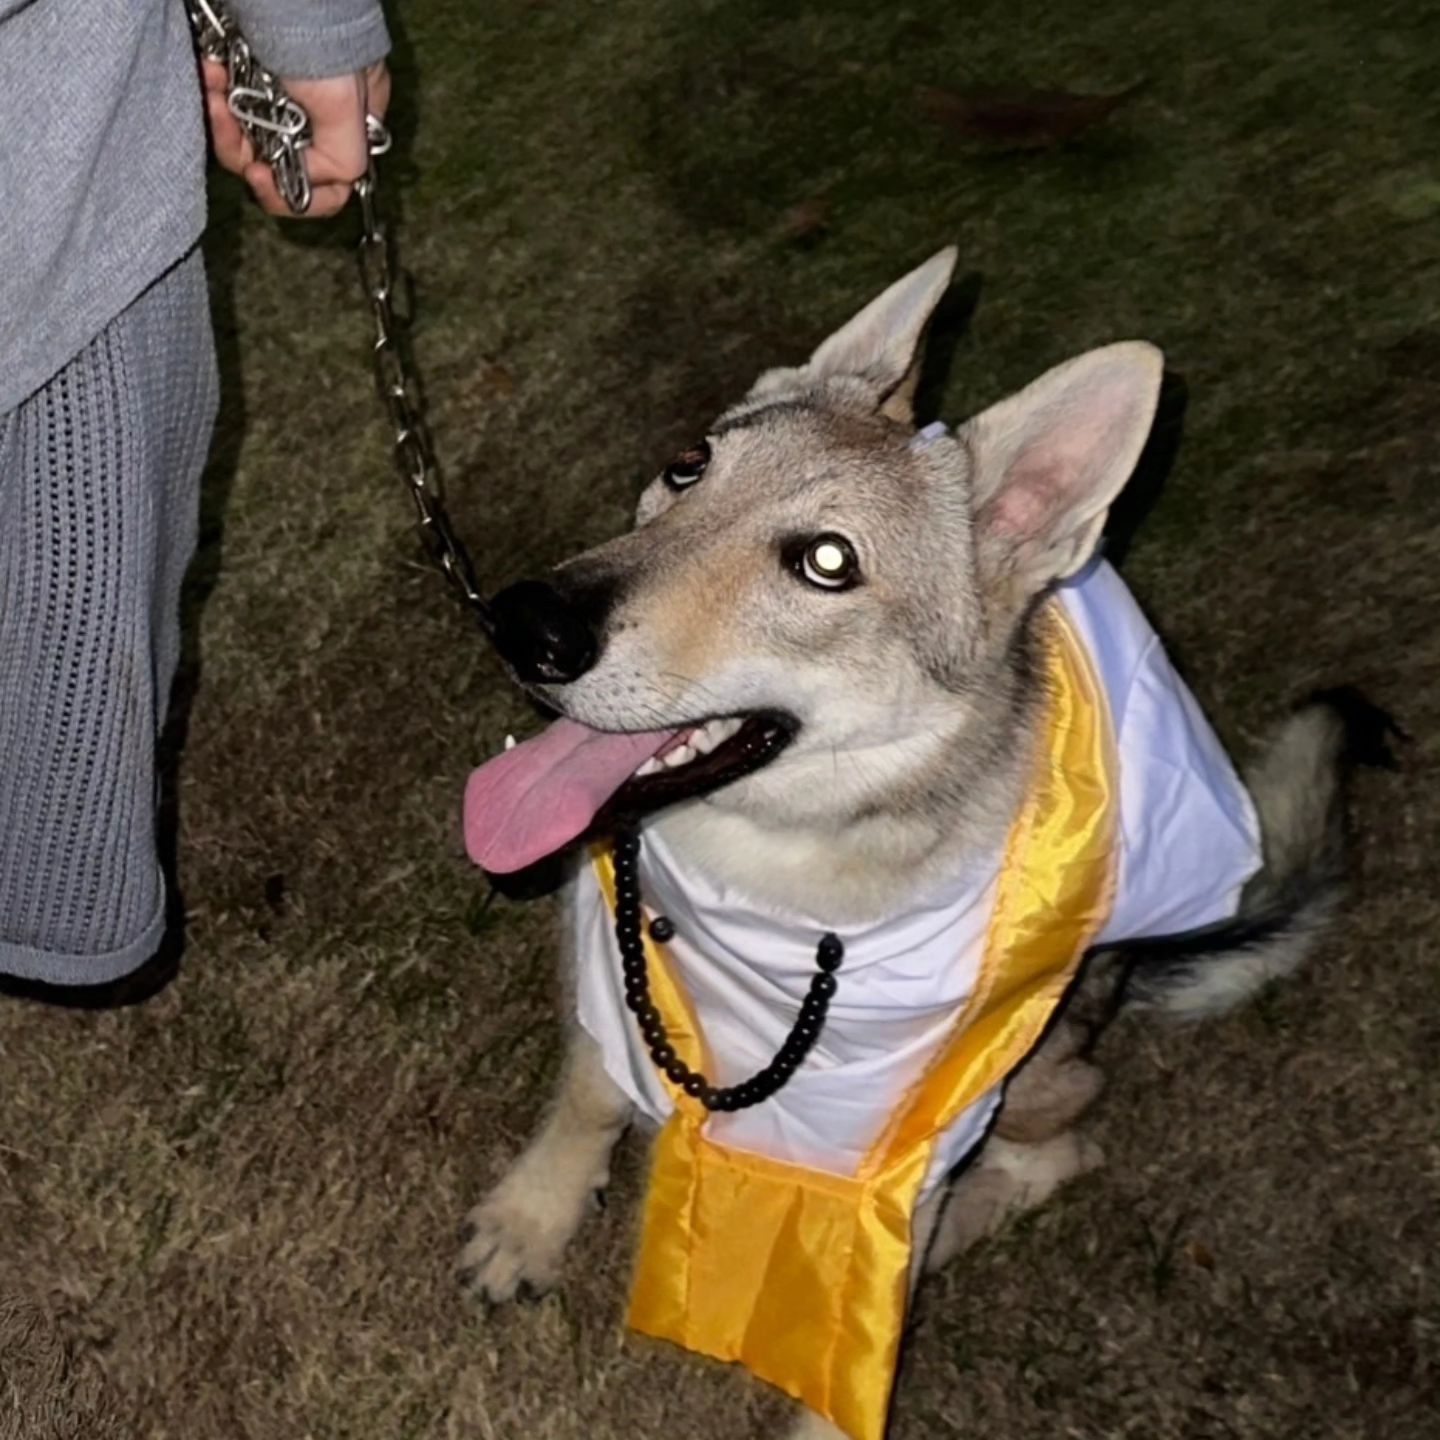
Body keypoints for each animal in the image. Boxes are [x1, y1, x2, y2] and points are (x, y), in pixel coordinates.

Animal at [452, 250, 1382, 1440]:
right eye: (687, 466)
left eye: (827, 562)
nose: (526, 622)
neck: (763, 871)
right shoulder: (616, 967)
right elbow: (586, 1089)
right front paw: (533, 1218)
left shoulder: (907, 1128)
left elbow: (864, 1304)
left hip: (1035, 1078)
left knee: (1059, 1156)